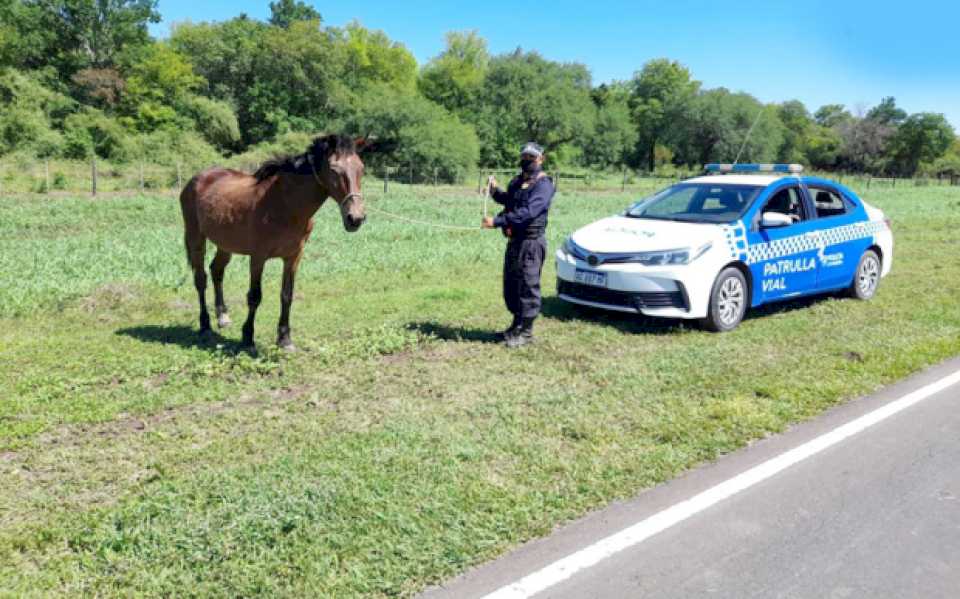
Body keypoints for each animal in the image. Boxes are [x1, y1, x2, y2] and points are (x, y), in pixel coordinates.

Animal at [180, 135, 372, 352]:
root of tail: (196, 179)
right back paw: (205, 325)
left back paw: (222, 316)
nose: (355, 218)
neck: (285, 205)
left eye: (361, 168)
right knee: (200, 279)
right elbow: (254, 296)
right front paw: (248, 337)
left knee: (216, 270)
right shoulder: (258, 257)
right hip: (196, 238)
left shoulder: (293, 257)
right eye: (334, 169)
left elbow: (287, 295)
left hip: (225, 244)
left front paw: (284, 338)